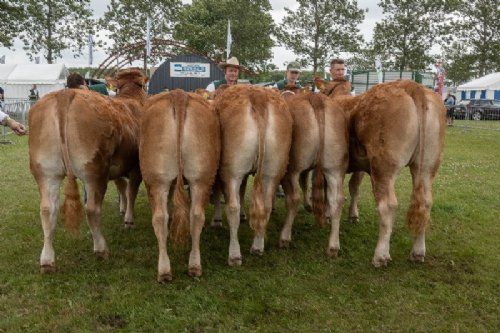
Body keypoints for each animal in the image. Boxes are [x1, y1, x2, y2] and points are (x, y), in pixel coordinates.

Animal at [29, 68, 147, 272]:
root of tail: (66, 94)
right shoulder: (135, 167)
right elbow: (131, 192)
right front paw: (129, 219)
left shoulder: (117, 166)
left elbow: (122, 188)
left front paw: (123, 209)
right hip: (95, 171)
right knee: (92, 209)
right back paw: (101, 249)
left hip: (45, 172)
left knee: (47, 210)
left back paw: (47, 261)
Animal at [140, 89, 220, 280]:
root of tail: (179, 94)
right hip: (201, 176)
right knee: (195, 215)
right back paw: (194, 266)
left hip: (156, 179)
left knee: (160, 217)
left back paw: (164, 271)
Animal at [214, 84, 292, 264]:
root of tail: (258, 96)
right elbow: (243, 192)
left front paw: (216, 220)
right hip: (273, 170)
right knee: (266, 206)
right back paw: (258, 247)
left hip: (232, 171)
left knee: (232, 208)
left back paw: (234, 255)